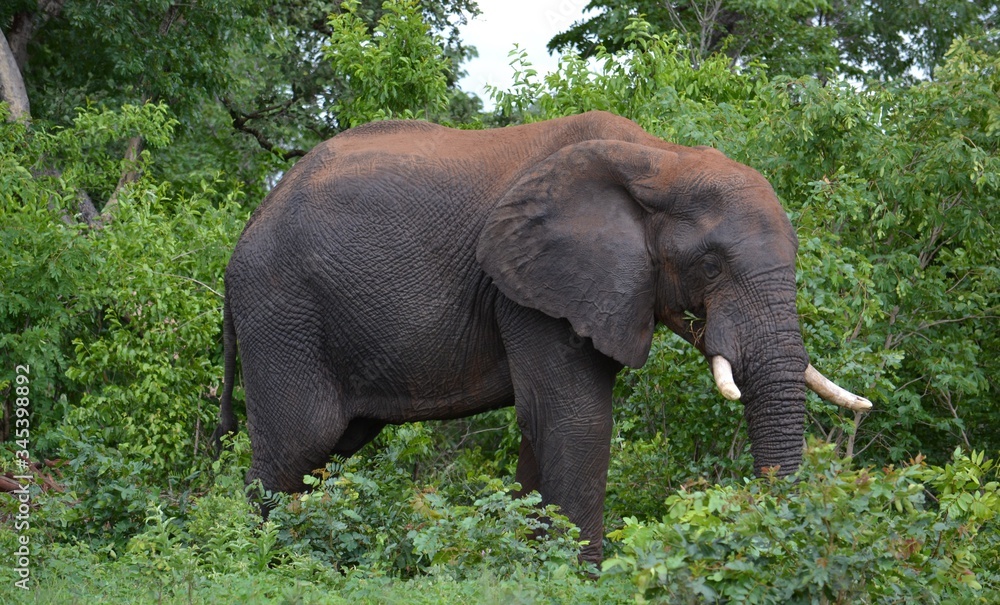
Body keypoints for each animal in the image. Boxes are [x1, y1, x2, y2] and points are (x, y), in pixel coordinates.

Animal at [212, 111, 871, 564]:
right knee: (296, 445)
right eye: (711, 266)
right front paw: (580, 578)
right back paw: (262, 561)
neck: (660, 159)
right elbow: (574, 419)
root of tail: (248, 226)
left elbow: (545, 428)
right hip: (282, 310)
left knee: (327, 450)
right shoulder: (529, 286)